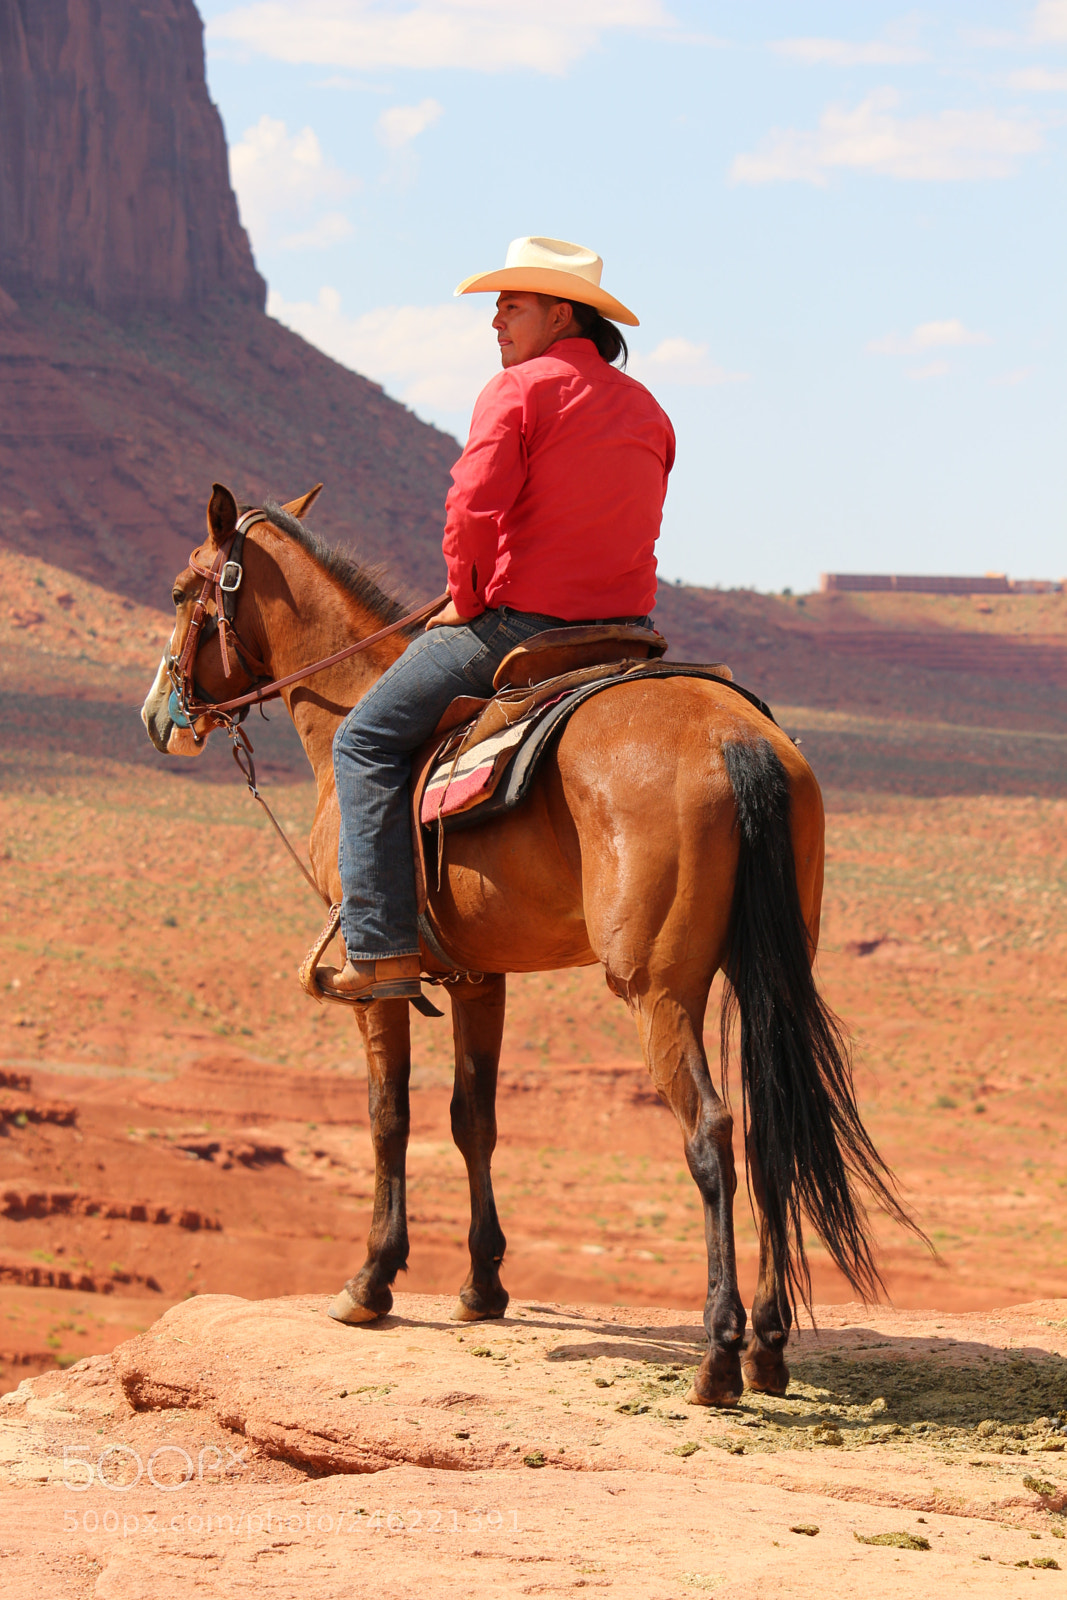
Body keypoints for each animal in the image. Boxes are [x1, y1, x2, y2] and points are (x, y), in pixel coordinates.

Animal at [141, 482, 917, 1406]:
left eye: (181, 593)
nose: (156, 718)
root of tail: (735, 741)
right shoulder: (480, 976)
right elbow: (473, 1118)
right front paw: (482, 1285)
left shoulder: (377, 980)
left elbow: (389, 1117)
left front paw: (371, 1281)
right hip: (760, 970)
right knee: (770, 1132)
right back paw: (767, 1346)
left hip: (657, 989)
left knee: (712, 1132)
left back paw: (719, 1354)